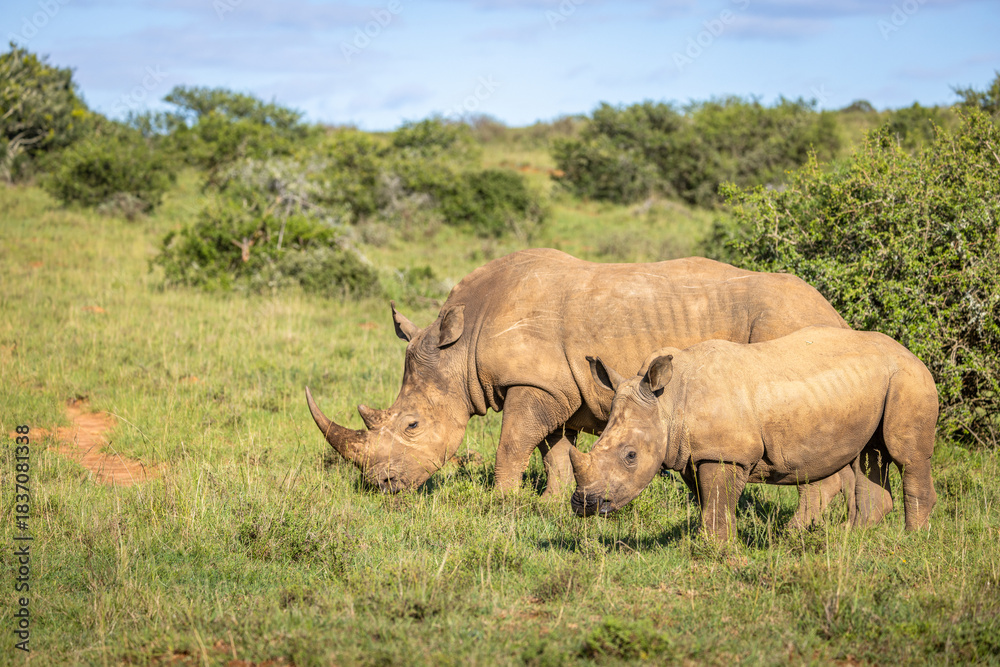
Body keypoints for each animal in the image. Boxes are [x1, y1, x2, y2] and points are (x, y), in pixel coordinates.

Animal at [306, 248, 867, 522]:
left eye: (413, 425)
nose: (381, 487)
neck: (460, 349)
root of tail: (835, 313)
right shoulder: (555, 389)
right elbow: (553, 449)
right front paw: (549, 504)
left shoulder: (533, 385)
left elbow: (513, 443)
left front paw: (501, 501)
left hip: (788, 331)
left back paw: (800, 529)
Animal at [570, 326, 938, 541]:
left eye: (630, 456)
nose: (584, 504)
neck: (668, 403)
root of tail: (909, 351)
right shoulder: (693, 453)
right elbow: (710, 502)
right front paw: (718, 543)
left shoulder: (724, 453)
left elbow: (717, 502)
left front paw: (716, 551)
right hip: (875, 383)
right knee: (868, 455)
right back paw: (845, 539)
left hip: (907, 377)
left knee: (907, 456)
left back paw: (912, 541)